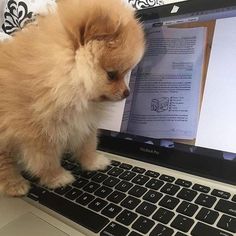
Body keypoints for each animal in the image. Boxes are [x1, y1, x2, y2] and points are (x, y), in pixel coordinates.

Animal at [0, 0, 145, 197]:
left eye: (125, 74)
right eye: (112, 75)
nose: (127, 93)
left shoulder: (84, 123)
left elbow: (88, 145)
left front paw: (93, 162)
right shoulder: (39, 133)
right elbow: (46, 160)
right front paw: (57, 177)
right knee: (5, 163)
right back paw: (14, 184)